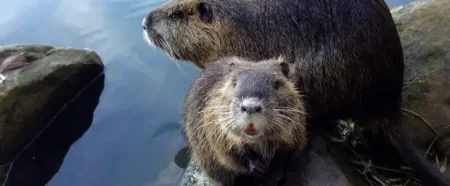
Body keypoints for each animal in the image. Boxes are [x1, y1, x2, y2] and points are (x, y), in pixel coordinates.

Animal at [182, 57, 306, 186]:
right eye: (234, 82)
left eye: (276, 84)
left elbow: (287, 152)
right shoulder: (214, 128)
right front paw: (257, 167)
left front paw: (275, 174)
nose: (250, 107)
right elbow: (228, 154)